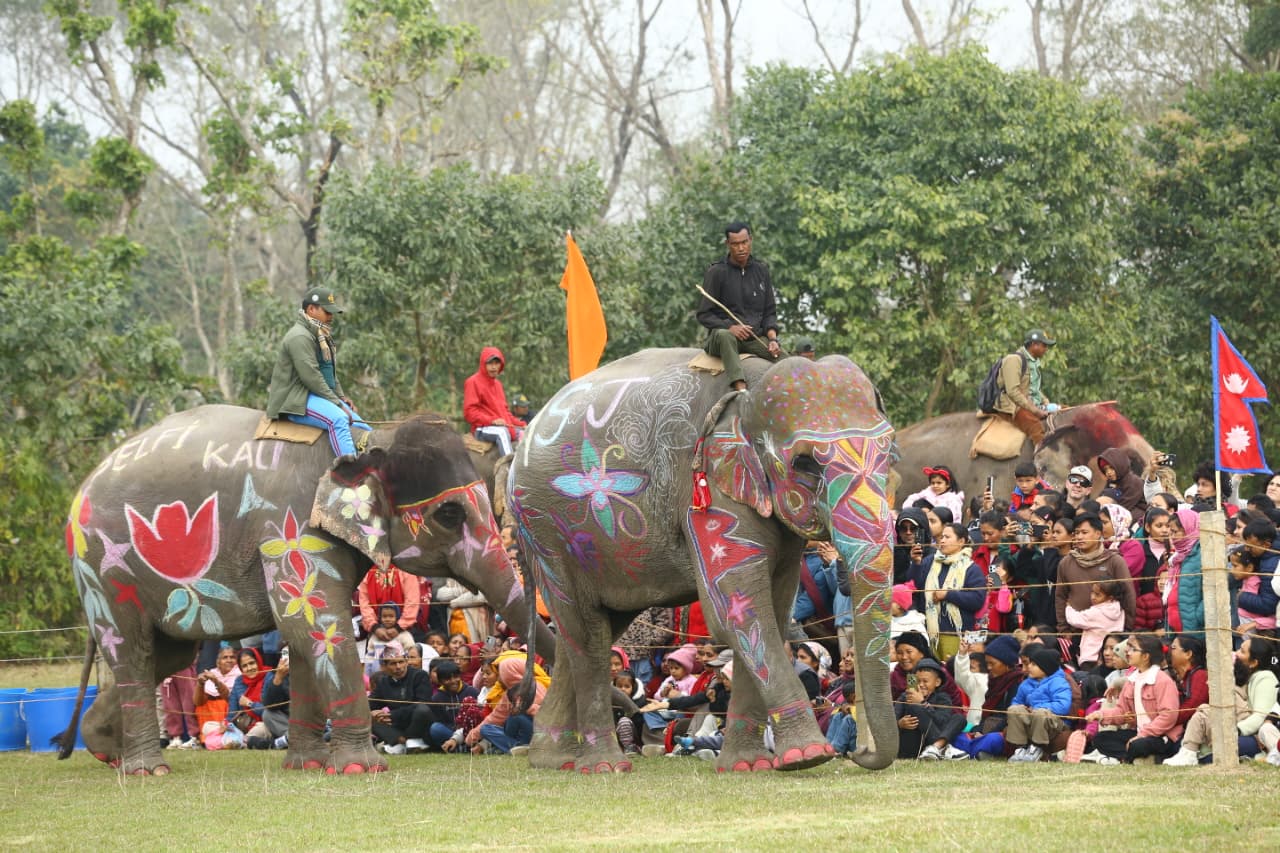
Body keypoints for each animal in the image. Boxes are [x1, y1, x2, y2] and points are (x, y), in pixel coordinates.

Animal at [58, 404, 554, 775]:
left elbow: (305, 632)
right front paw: (360, 768)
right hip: (104, 568)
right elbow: (314, 625)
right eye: (449, 515)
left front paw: (309, 765)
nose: (521, 693)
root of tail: (86, 481)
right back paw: (146, 769)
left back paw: (105, 749)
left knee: (170, 653)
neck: (370, 437)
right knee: (133, 648)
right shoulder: (290, 526)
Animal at [508, 348, 897, 774]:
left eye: (891, 452)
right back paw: (604, 767)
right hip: (548, 532)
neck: (748, 392)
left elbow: (773, 612)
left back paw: (551, 758)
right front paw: (806, 757)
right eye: (805, 464)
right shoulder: (705, 496)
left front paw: (748, 767)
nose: (858, 753)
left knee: (585, 632)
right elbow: (737, 610)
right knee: (587, 635)